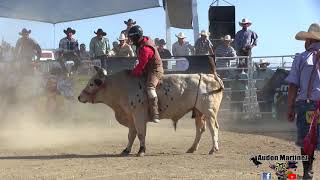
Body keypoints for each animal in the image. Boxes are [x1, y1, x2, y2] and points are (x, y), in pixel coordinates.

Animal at [78, 66, 224, 156]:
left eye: (91, 83)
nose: (80, 97)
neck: (121, 87)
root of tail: (211, 76)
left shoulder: (138, 115)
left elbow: (141, 133)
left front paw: (141, 150)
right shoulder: (131, 117)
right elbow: (131, 134)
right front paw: (126, 150)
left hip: (209, 112)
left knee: (213, 128)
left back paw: (213, 149)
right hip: (199, 112)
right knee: (200, 129)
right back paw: (192, 148)